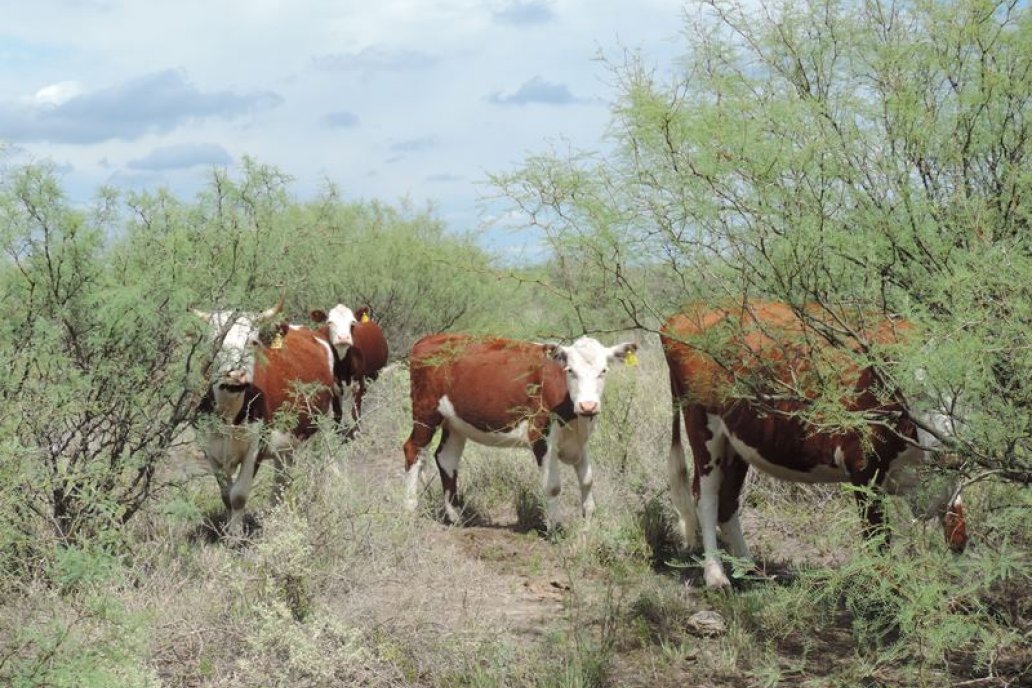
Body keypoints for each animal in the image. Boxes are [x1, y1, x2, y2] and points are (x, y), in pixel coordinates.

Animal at [194, 303, 334, 536]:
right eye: (215, 341)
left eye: (253, 341)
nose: (236, 375)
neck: (229, 414)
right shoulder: (208, 448)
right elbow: (226, 495)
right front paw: (228, 532)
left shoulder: (256, 446)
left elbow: (238, 496)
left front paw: (235, 537)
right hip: (288, 442)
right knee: (281, 479)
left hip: (322, 426)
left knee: (322, 465)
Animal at [307, 305, 388, 439]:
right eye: (329, 322)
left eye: (353, 322)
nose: (343, 338)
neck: (343, 368)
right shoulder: (334, 388)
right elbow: (338, 413)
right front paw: (337, 432)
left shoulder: (359, 382)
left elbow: (355, 411)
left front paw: (357, 431)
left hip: (374, 374)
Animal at [402, 334, 635, 528]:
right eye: (570, 370)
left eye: (603, 371)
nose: (588, 406)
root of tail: (428, 339)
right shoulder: (540, 436)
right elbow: (553, 486)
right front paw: (556, 528)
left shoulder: (579, 441)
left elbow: (587, 480)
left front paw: (588, 524)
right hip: (425, 413)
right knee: (413, 450)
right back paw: (410, 510)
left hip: (455, 422)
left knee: (446, 459)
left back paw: (456, 517)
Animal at [660, 301, 965, 585]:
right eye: (915, 392)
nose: (948, 453)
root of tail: (683, 313)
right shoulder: (863, 469)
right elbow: (878, 544)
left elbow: (958, 534)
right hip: (703, 427)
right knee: (706, 498)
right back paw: (715, 575)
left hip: (737, 443)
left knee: (727, 502)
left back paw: (751, 570)